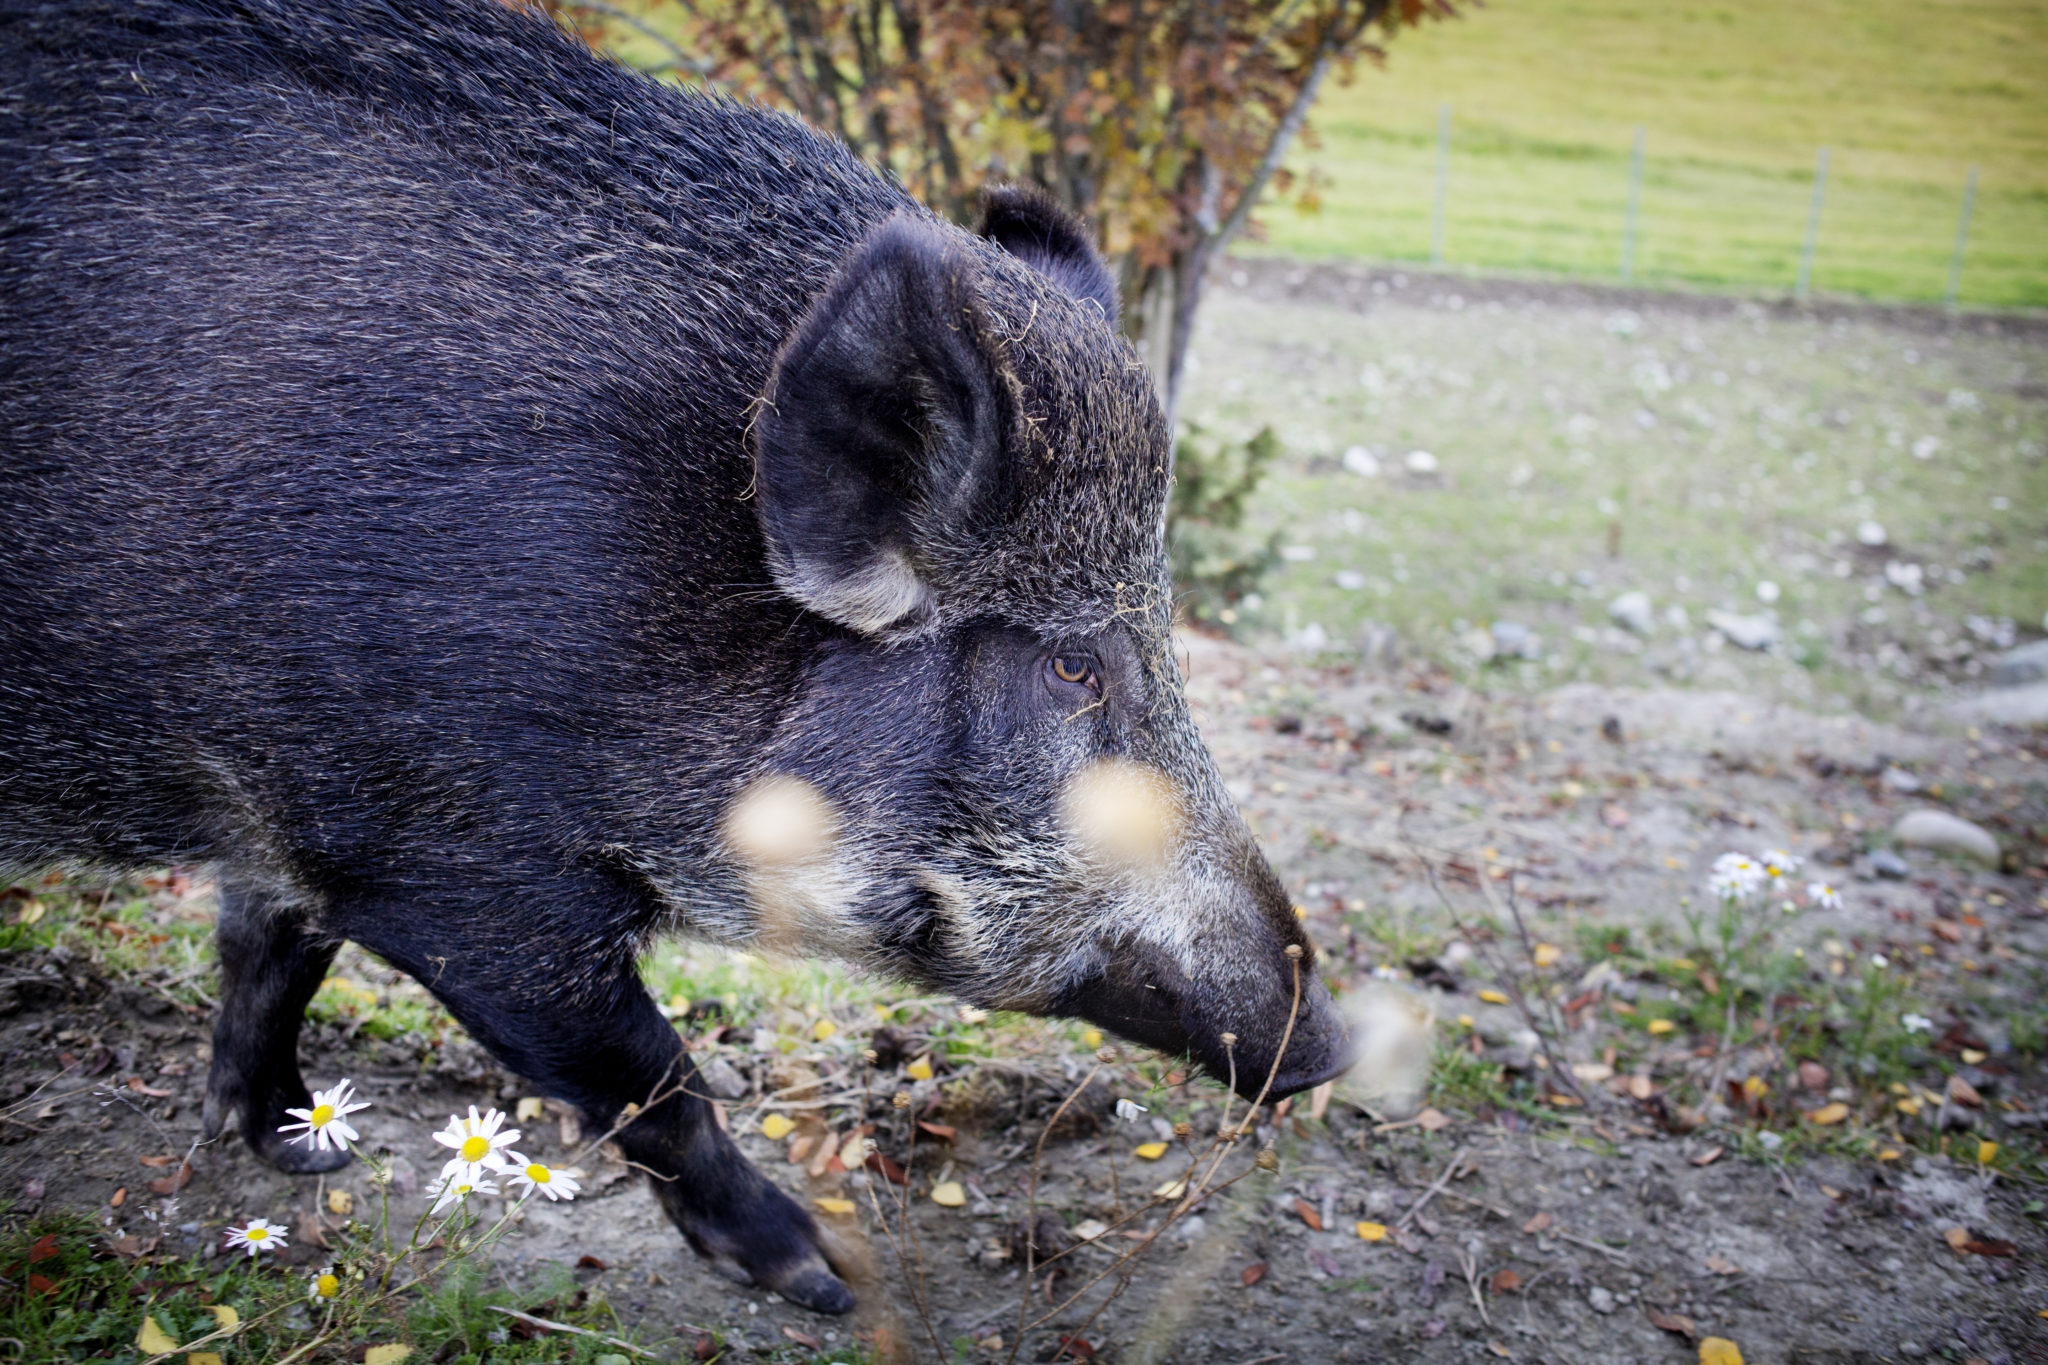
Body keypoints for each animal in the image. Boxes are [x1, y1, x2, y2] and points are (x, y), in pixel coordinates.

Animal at [0, 0, 1349, 1311]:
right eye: (1075, 668)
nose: (1330, 1048)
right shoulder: (445, 860)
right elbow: (648, 1078)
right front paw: (824, 1278)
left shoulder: (288, 813)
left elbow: (270, 953)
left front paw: (301, 1150)